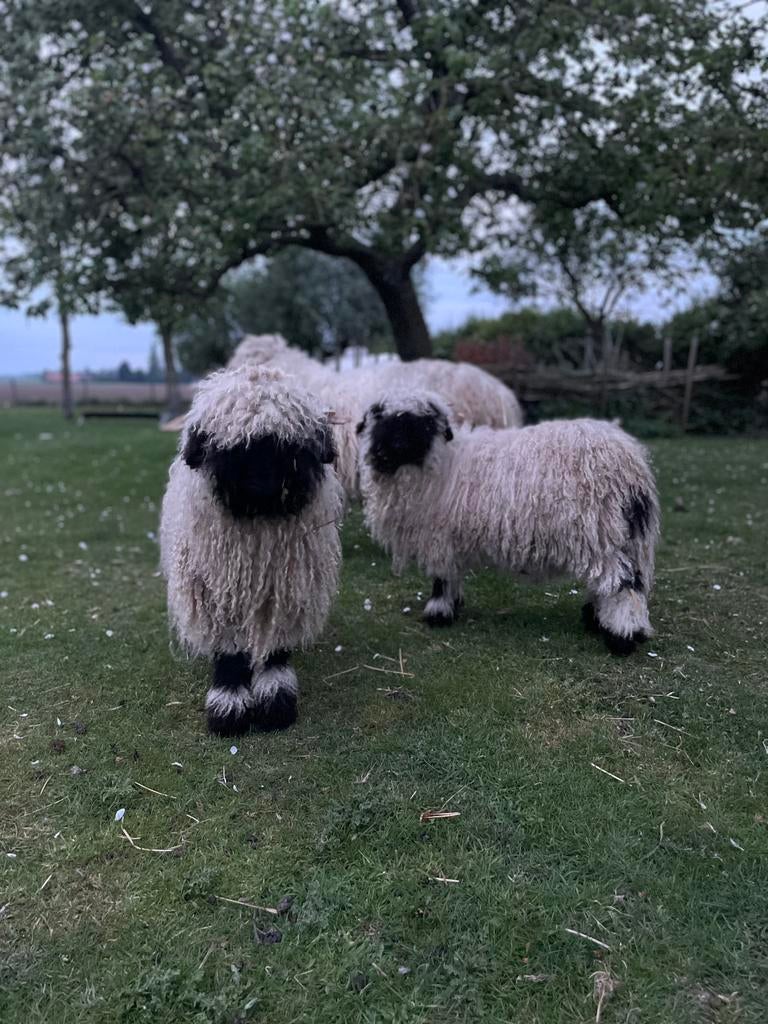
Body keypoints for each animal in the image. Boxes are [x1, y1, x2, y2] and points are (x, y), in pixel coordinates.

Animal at [159, 364, 344, 735]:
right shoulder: (216, 592)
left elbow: (275, 649)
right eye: (231, 447)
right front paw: (228, 706)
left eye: (290, 446)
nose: (262, 489)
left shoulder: (284, 589)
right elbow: (230, 652)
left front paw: (276, 701)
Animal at [356, 390, 660, 655]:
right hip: (625, 537)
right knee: (623, 582)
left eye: (422, 423)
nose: (387, 450)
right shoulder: (450, 537)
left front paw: (438, 613)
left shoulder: (439, 536)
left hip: (599, 530)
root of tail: (631, 464)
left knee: (622, 583)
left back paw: (622, 638)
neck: (442, 464)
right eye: (381, 419)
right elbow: (452, 575)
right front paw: (453, 605)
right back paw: (602, 621)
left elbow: (441, 578)